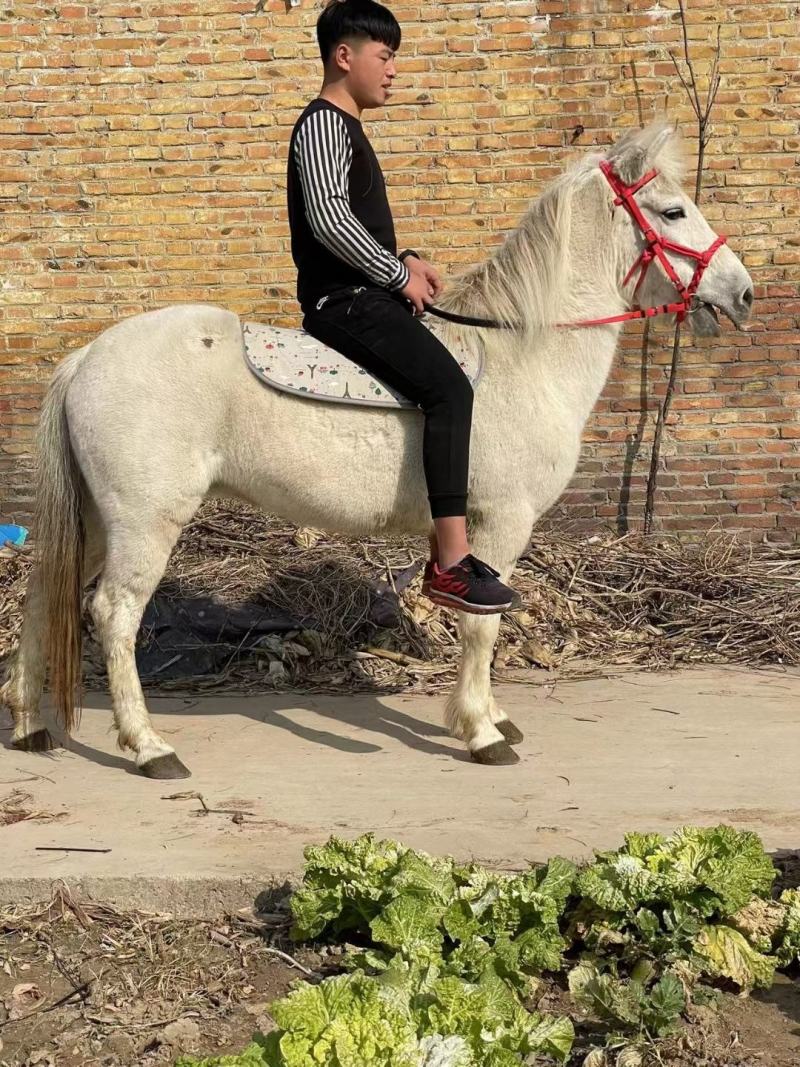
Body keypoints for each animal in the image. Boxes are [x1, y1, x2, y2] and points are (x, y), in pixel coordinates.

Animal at [1, 119, 754, 777]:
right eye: (674, 210)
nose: (743, 293)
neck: (524, 353)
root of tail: (88, 357)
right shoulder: (501, 524)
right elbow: (482, 628)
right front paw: (481, 730)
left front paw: (491, 717)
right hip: (145, 521)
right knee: (114, 615)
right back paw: (148, 747)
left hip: (97, 520)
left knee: (43, 595)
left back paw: (31, 723)